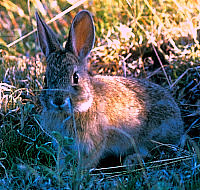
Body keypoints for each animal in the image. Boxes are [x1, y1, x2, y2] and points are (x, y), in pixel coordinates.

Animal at [36, 10, 184, 168]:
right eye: (45, 80)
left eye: (75, 78)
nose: (58, 101)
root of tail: (179, 121)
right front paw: (61, 170)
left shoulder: (93, 144)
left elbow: (87, 162)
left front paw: (79, 172)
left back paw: (130, 161)